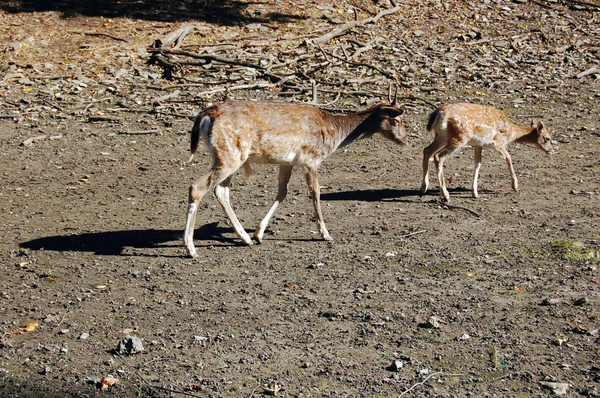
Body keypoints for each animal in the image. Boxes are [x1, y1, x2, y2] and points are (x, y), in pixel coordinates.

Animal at [184, 98, 408, 256]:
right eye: (396, 120)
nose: (405, 140)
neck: (334, 132)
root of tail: (204, 115)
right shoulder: (311, 159)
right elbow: (315, 193)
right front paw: (325, 234)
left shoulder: (287, 162)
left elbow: (282, 193)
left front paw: (259, 234)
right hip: (229, 155)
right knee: (197, 187)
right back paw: (191, 249)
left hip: (226, 157)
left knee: (221, 191)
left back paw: (245, 238)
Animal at [420, 102, 556, 202]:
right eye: (547, 138)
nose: (552, 151)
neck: (511, 133)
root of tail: (438, 114)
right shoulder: (498, 142)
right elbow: (509, 158)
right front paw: (515, 186)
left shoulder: (478, 144)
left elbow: (478, 163)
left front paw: (475, 192)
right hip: (459, 137)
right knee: (438, 156)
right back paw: (445, 195)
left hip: (442, 136)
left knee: (426, 150)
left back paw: (424, 187)